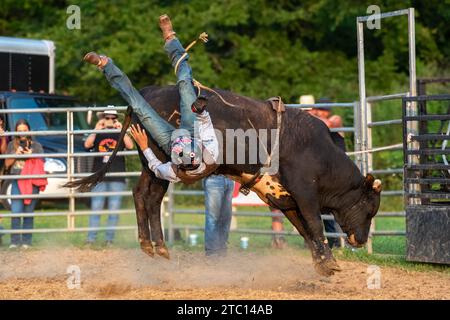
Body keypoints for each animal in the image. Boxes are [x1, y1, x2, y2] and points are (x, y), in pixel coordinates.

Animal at [68, 85, 382, 276]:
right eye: (369, 209)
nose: (361, 239)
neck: (320, 153)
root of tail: (149, 91)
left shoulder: (285, 197)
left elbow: (304, 230)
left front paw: (322, 263)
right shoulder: (305, 194)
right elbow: (315, 225)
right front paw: (330, 262)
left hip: (152, 164)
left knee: (143, 194)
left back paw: (154, 245)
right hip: (162, 156)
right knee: (150, 196)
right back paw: (154, 244)